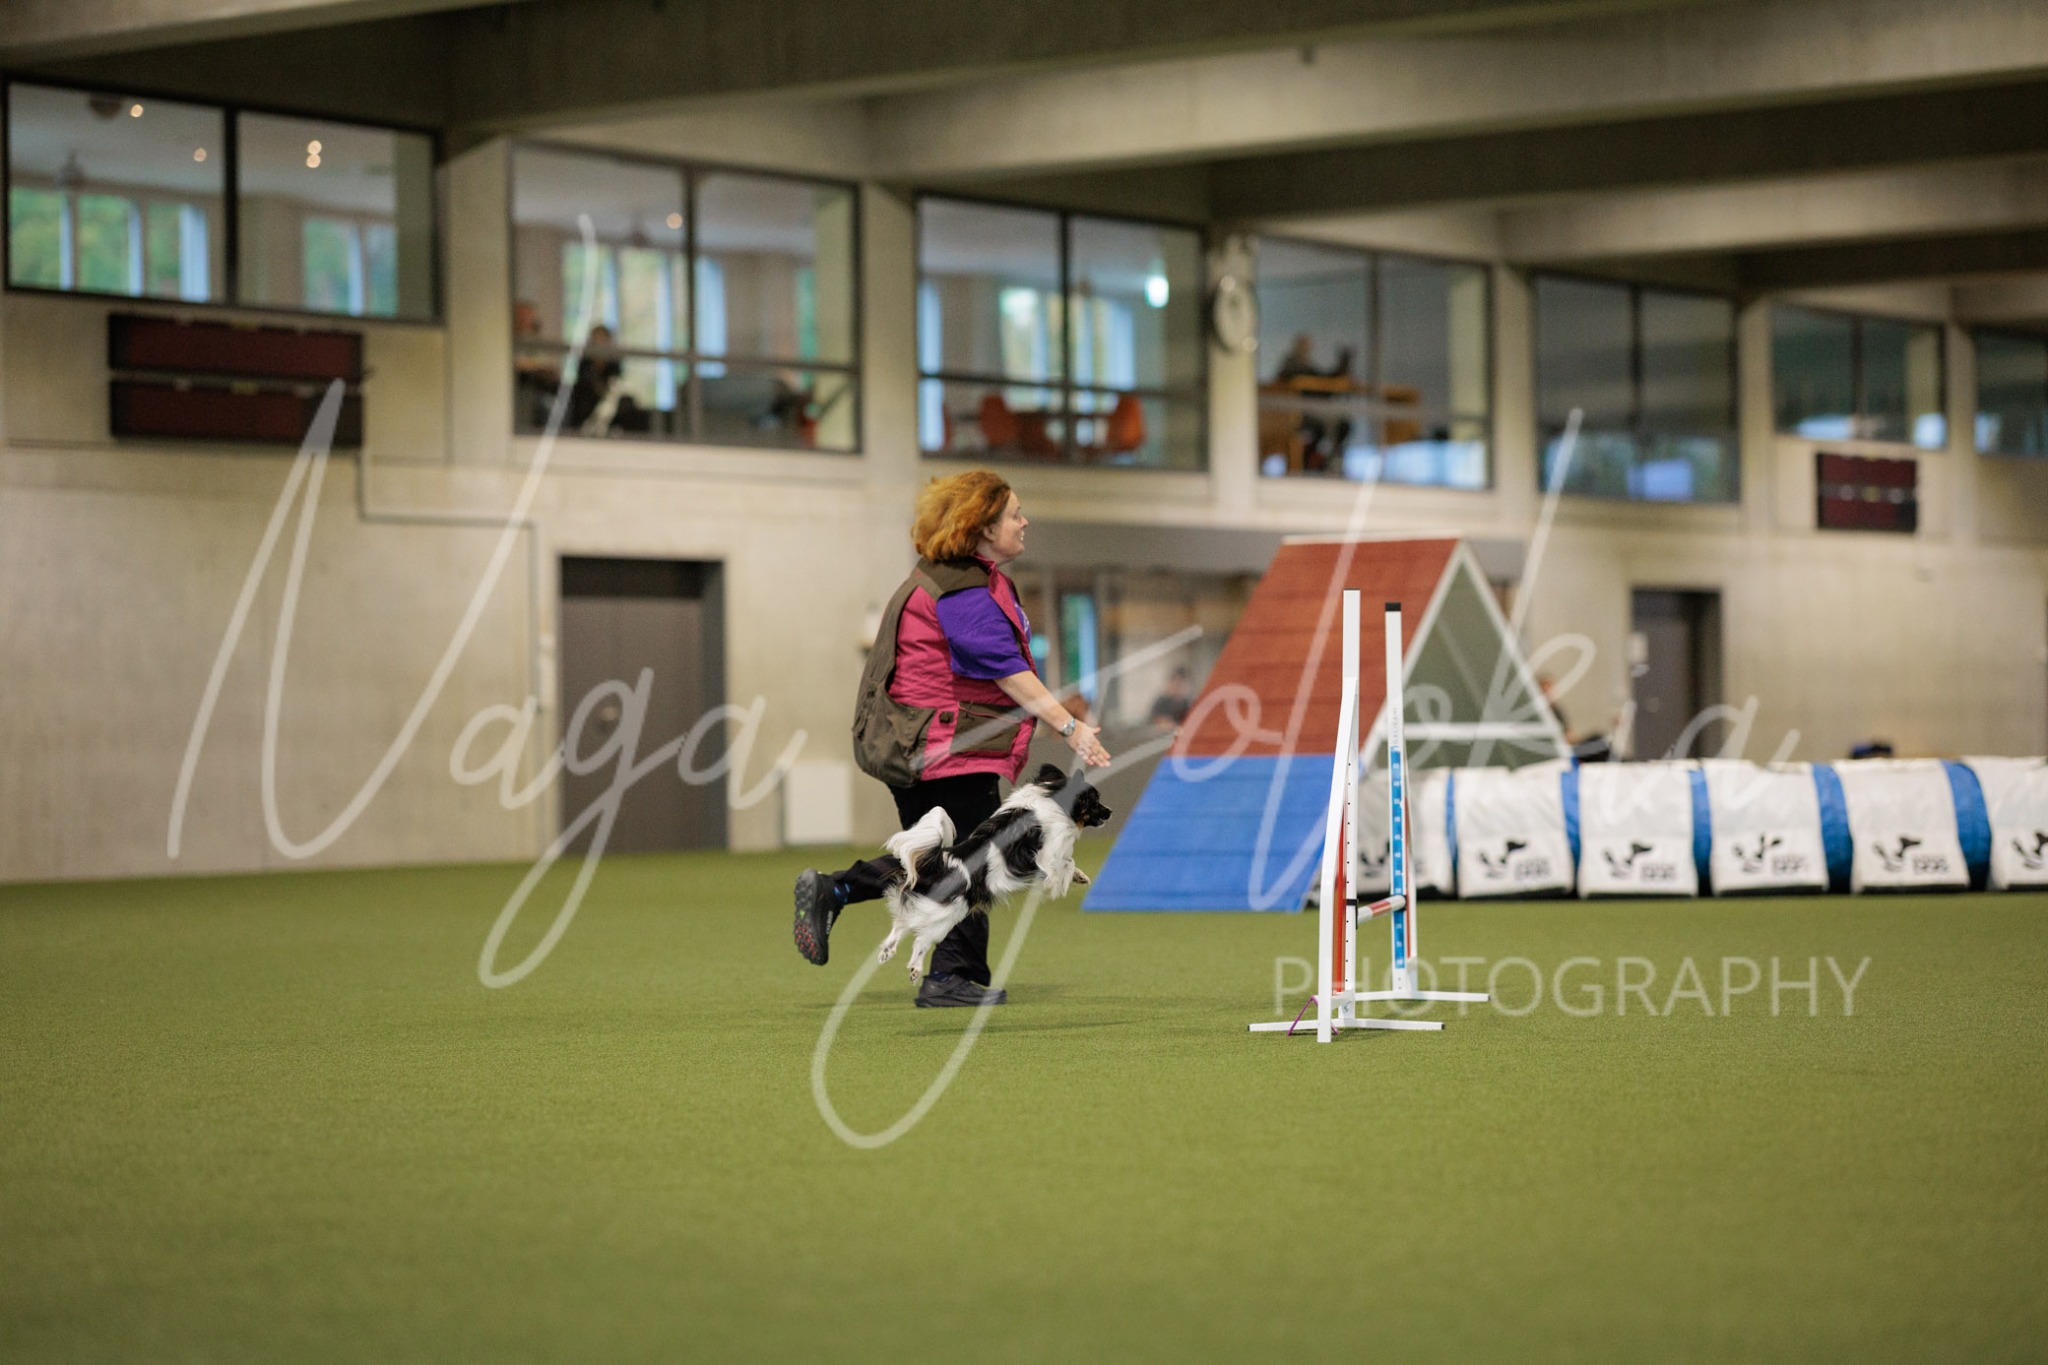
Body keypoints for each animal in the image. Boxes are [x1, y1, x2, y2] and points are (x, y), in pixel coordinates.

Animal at [877, 763, 1113, 982]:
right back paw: (913, 967)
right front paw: (1063, 883)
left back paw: (890, 954)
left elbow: (1069, 864)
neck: (1052, 796)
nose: (1110, 811)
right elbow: (1066, 863)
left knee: (903, 926)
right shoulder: (1046, 855)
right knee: (918, 935)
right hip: (947, 912)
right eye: (1095, 803)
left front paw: (1079, 877)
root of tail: (939, 862)